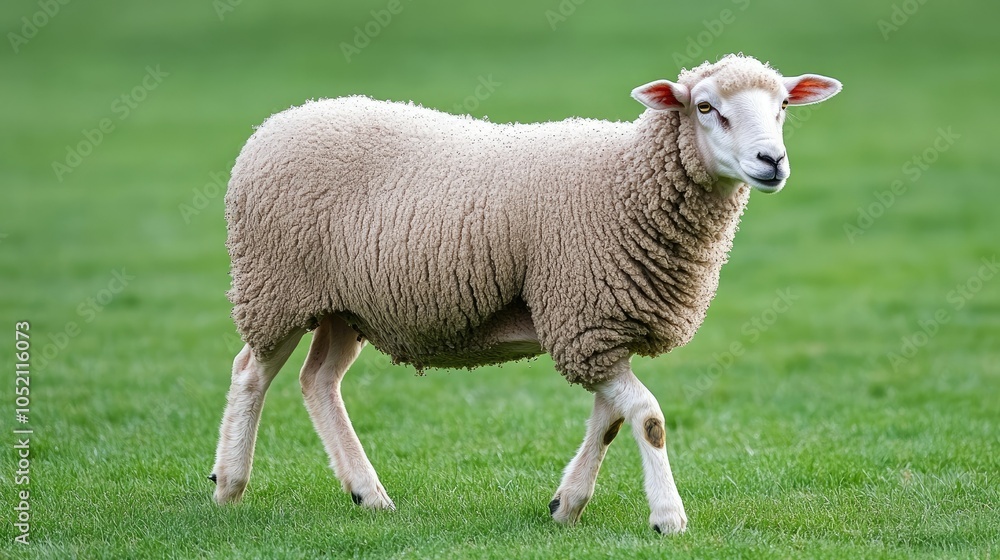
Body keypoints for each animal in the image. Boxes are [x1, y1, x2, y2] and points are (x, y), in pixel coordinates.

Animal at [210, 53, 841, 534]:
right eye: (706, 108)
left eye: (783, 106)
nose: (771, 161)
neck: (628, 179)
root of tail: (277, 122)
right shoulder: (582, 319)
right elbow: (648, 417)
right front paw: (668, 518)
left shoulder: (600, 326)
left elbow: (611, 420)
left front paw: (567, 505)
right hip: (275, 287)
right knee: (250, 372)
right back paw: (229, 486)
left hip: (345, 306)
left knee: (317, 380)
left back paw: (369, 494)